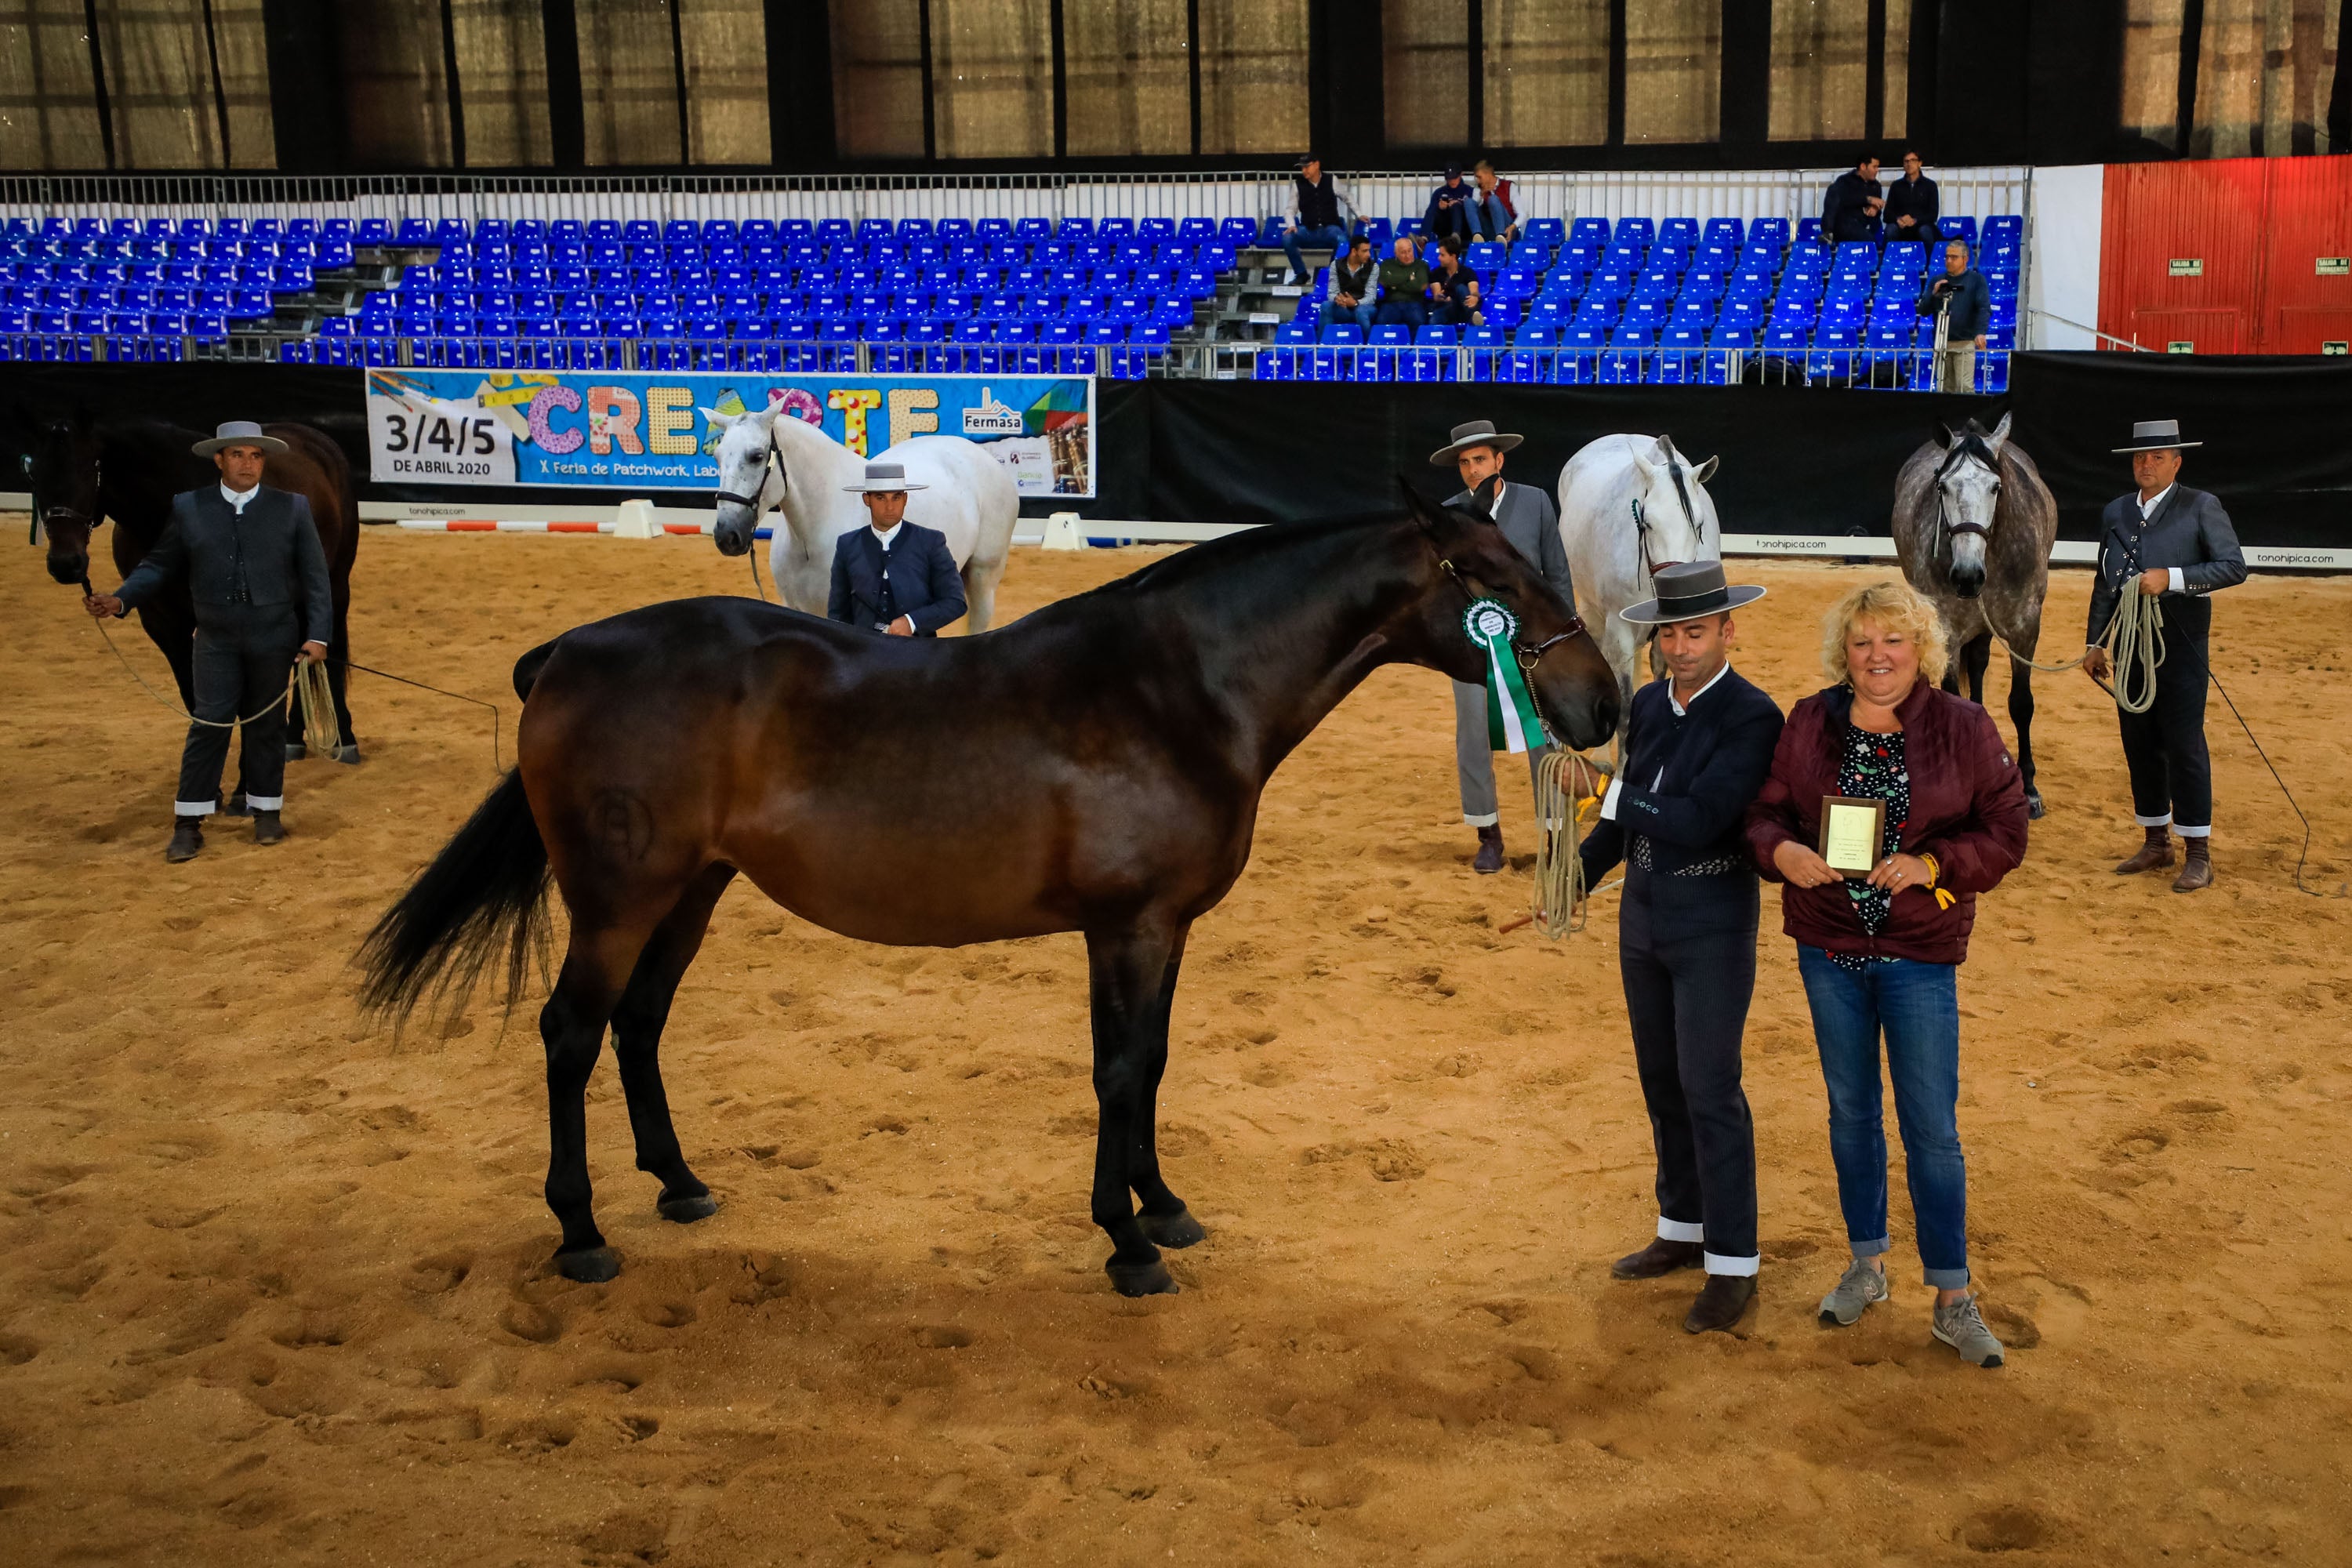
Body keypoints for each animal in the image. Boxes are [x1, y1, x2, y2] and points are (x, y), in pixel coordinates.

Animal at [362, 491, 1618, 1298]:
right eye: (1493, 580)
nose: (1602, 701)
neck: (1180, 688)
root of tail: (567, 653)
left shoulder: (1162, 930)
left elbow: (1152, 1063)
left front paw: (1164, 1208)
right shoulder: (1127, 927)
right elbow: (1120, 1070)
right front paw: (1127, 1244)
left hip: (691, 892)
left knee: (637, 1025)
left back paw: (679, 1184)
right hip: (620, 900)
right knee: (571, 1034)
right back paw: (580, 1232)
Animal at [1891, 411, 2060, 822]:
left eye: (1996, 487)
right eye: (1942, 487)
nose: (1967, 576)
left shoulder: (2025, 629)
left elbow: (2022, 704)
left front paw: (2029, 789)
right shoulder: (1948, 630)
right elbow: (1954, 699)